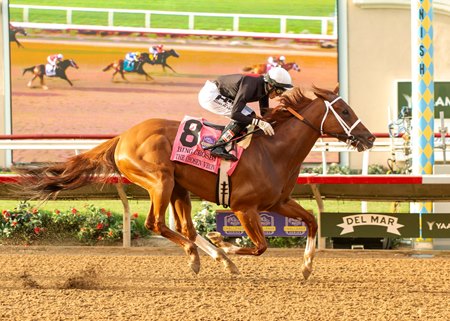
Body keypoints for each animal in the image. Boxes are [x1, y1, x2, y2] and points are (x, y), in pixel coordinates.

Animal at [14, 86, 374, 278]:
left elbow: (312, 220)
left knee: (186, 227)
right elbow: (260, 246)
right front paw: (226, 244)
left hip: (179, 188)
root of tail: (123, 137)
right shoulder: (244, 208)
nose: (369, 137)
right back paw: (204, 255)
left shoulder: (279, 202)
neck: (273, 151)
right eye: (343, 109)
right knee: (157, 224)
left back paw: (213, 257)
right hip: (160, 180)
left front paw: (307, 267)